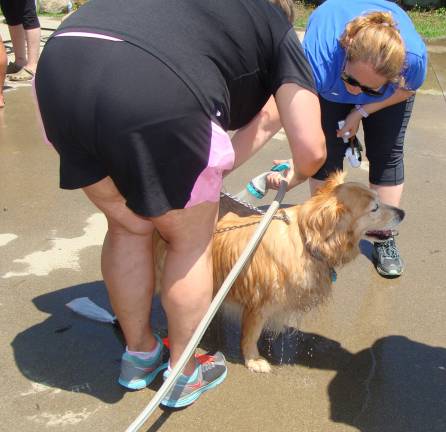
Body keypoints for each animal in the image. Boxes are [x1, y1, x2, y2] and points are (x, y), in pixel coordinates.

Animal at [152, 170, 404, 372]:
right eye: (374, 208)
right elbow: (250, 335)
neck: (305, 241)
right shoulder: (258, 303)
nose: (402, 213)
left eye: (379, 199)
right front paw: (253, 360)